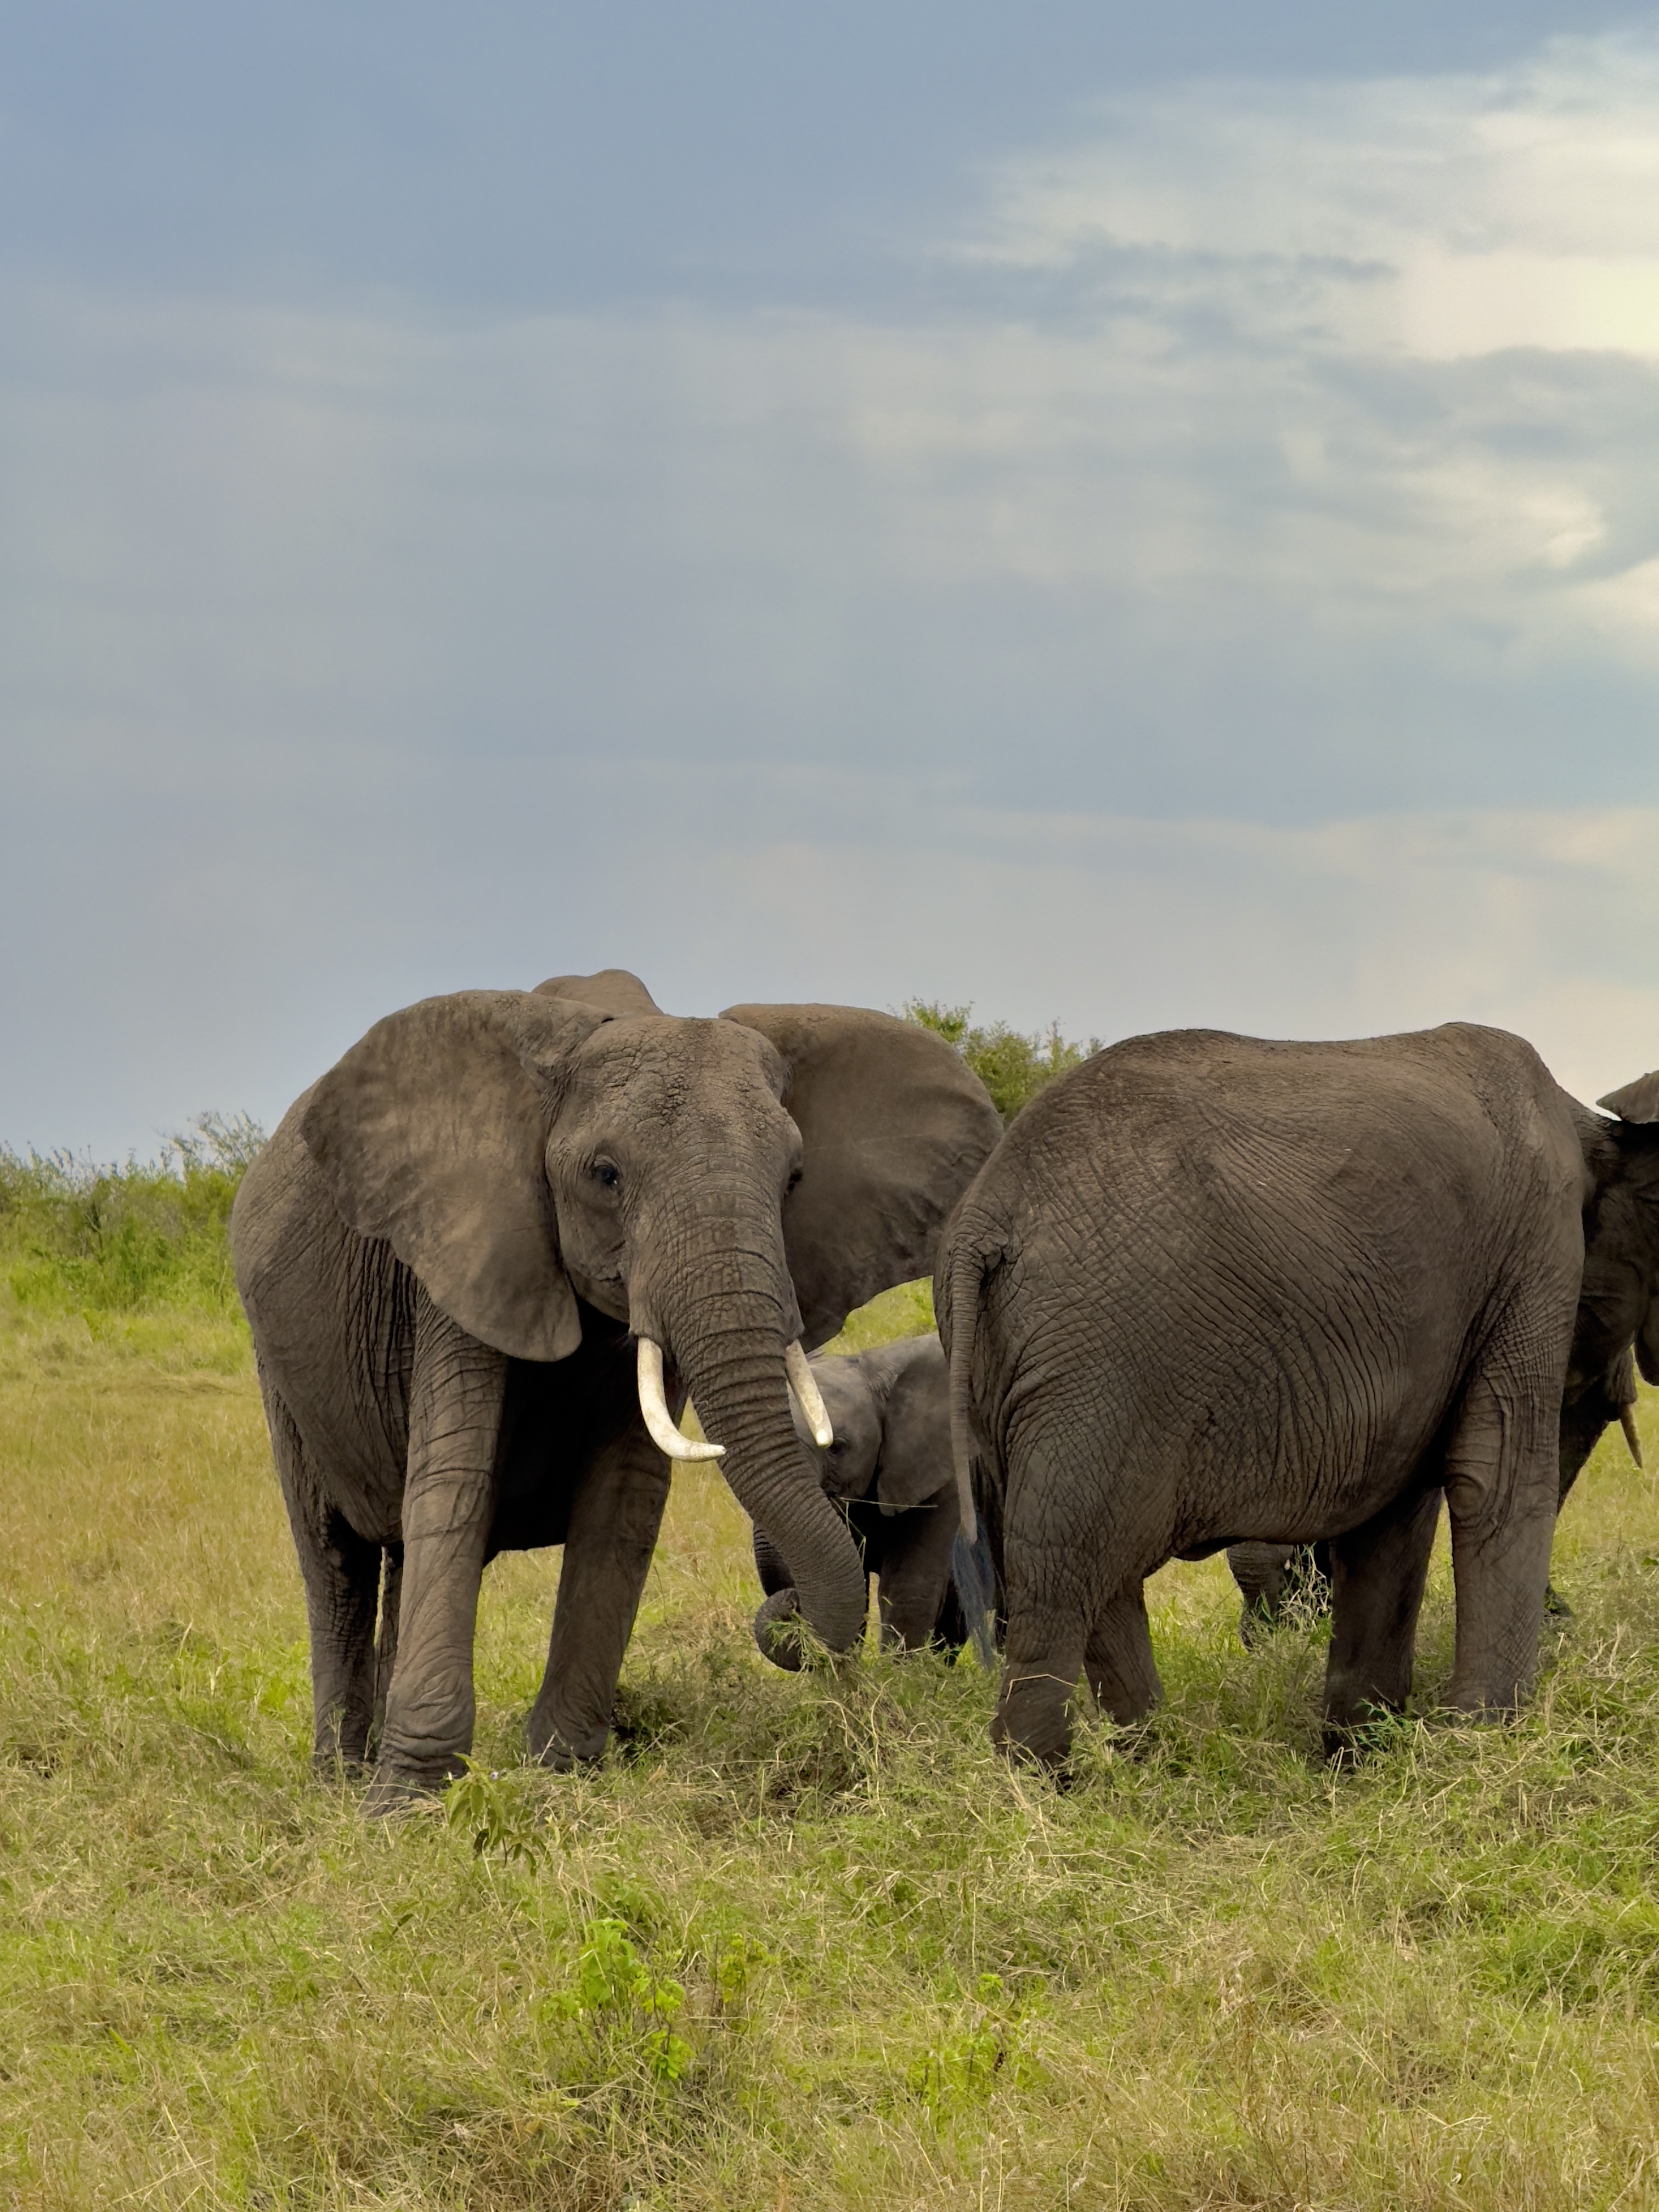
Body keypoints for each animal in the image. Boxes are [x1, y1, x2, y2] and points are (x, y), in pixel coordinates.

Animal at [750, 1333, 968, 1667]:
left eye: (837, 1447)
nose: (795, 1604)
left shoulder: (944, 1483)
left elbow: (907, 1588)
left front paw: (899, 1679)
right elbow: (855, 1588)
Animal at [934, 1023, 1659, 1768]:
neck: (1589, 1123)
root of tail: (983, 1221)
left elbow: (1391, 1517)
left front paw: (1362, 1755)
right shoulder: (1535, 1251)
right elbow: (1496, 1475)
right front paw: (1477, 1746)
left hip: (1017, 1363)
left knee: (1088, 1573)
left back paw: (1159, 1763)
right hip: (1100, 1356)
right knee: (1063, 1566)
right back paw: (1049, 1778)